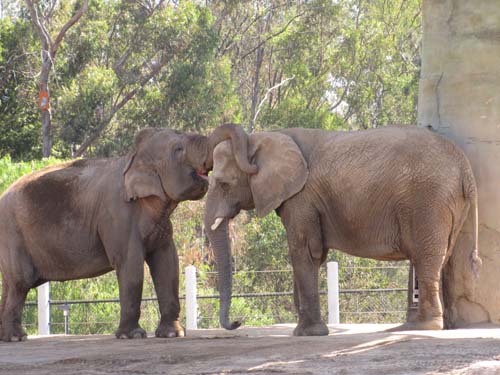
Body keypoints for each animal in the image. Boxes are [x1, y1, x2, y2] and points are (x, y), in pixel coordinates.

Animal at [0, 125, 250, 342]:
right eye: (178, 150)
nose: (239, 321)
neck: (132, 158)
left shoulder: (161, 224)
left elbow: (168, 264)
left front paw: (172, 334)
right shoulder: (117, 217)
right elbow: (130, 266)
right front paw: (133, 335)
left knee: (9, 284)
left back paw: (6, 337)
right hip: (12, 234)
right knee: (20, 281)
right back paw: (16, 337)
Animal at [203, 125, 480, 336]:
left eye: (224, 184)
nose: (238, 322)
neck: (261, 138)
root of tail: (465, 168)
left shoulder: (301, 198)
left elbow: (304, 251)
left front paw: (307, 333)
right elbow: (312, 254)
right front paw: (305, 329)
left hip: (428, 202)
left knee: (425, 259)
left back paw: (420, 327)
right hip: (447, 204)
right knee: (442, 257)